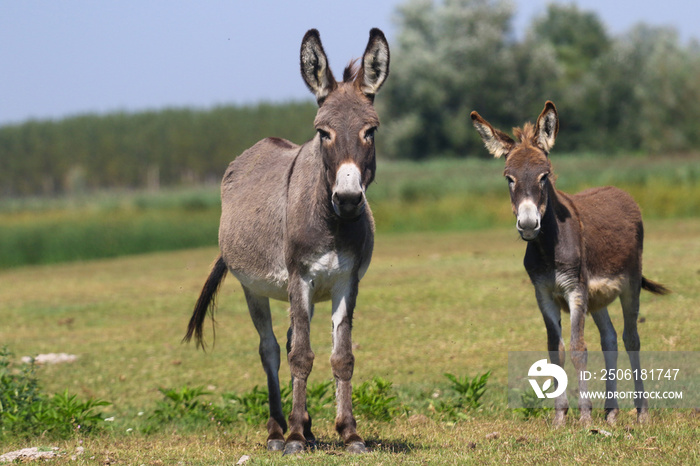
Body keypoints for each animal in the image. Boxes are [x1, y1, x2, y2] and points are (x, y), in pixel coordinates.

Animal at [183, 30, 388, 456]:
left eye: (370, 131)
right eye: (323, 133)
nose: (348, 199)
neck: (332, 223)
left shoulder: (346, 282)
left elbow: (341, 357)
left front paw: (349, 433)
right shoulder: (299, 277)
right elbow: (300, 358)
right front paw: (293, 437)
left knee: (294, 338)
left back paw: (307, 428)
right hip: (255, 287)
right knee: (272, 349)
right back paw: (279, 430)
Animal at [470, 101, 668, 426]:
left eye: (544, 176)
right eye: (509, 178)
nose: (528, 225)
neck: (548, 248)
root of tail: (619, 191)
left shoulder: (575, 290)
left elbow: (578, 349)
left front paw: (585, 417)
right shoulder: (544, 294)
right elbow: (556, 351)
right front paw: (560, 418)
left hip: (629, 286)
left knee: (631, 339)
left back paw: (641, 413)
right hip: (596, 299)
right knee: (610, 340)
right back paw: (611, 413)